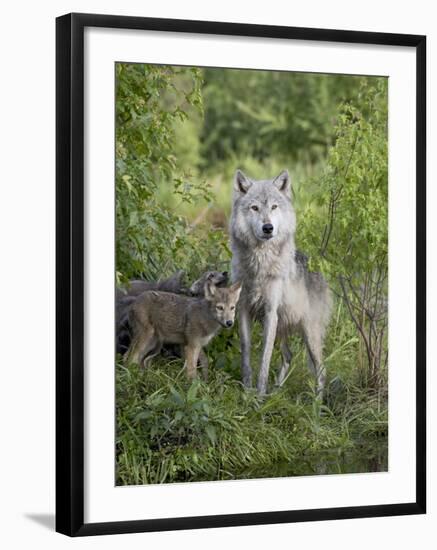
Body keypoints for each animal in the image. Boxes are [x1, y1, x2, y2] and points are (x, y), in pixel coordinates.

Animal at [228, 169, 330, 396]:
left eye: (274, 207)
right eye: (255, 208)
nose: (268, 227)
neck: (259, 264)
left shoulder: (270, 313)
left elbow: (264, 360)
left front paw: (258, 396)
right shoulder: (243, 309)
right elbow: (246, 353)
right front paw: (247, 390)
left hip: (309, 334)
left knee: (321, 370)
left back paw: (316, 403)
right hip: (284, 327)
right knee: (288, 356)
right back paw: (276, 391)